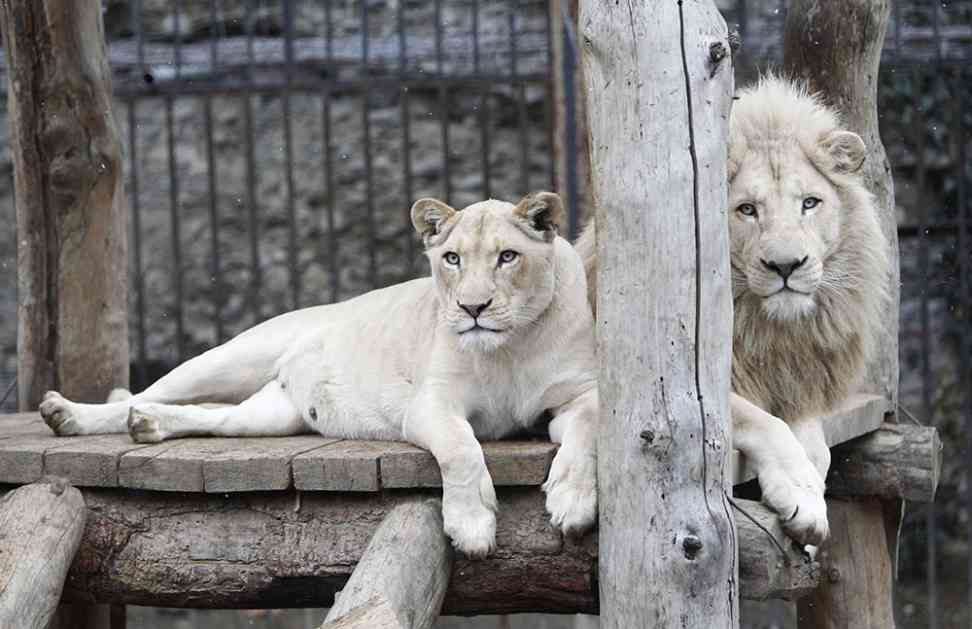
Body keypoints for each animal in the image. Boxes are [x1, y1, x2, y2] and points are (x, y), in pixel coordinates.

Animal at [41, 191, 600, 556]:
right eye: (452, 259)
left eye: (508, 257)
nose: (473, 308)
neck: (510, 347)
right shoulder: (432, 404)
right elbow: (461, 450)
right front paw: (472, 527)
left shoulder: (578, 394)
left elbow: (587, 432)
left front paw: (572, 504)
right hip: (229, 356)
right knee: (144, 392)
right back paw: (69, 415)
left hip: (271, 416)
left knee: (215, 417)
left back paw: (148, 424)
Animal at [576, 76, 888, 544]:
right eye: (747, 210)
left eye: (809, 203)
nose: (786, 266)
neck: (768, 329)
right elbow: (768, 424)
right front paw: (803, 498)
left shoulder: (800, 384)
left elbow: (817, 445)